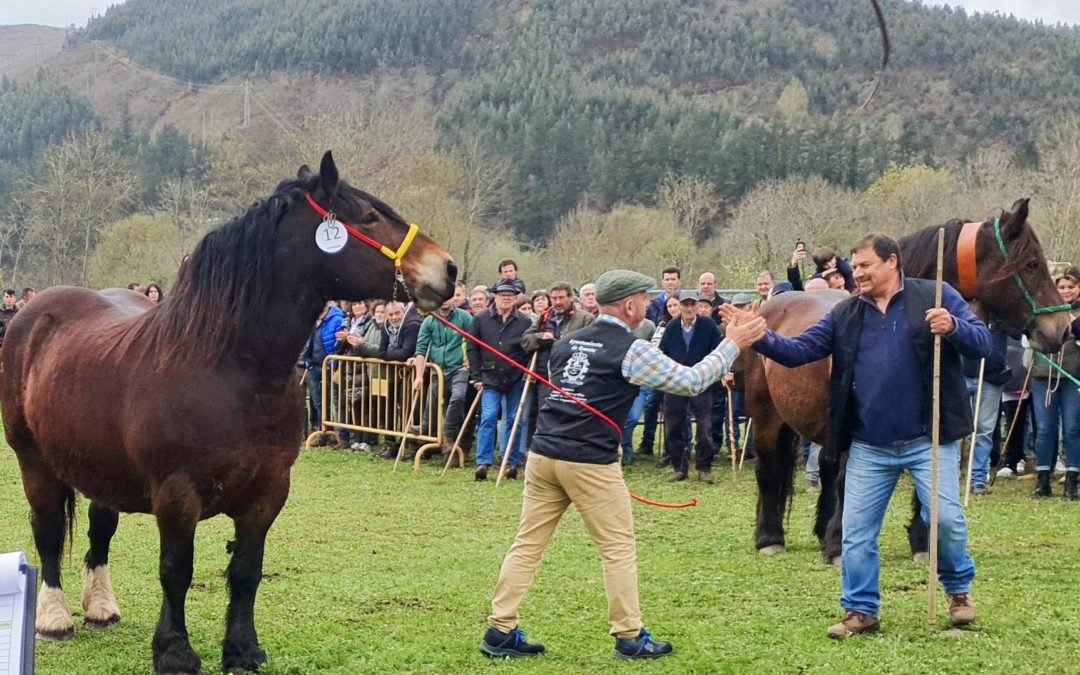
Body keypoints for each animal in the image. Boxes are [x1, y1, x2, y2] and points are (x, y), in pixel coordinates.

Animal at [0, 152, 455, 673]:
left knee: (100, 529)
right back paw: (54, 616)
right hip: (34, 461)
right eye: (369, 216)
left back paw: (100, 607)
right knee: (48, 529)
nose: (447, 269)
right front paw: (174, 651)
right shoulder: (177, 494)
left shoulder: (269, 492)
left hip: (100, 466)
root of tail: (37, 312)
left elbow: (246, 571)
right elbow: (176, 570)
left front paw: (242, 648)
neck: (229, 369)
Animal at [751, 197, 1071, 561]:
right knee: (768, 468)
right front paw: (838, 545)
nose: (1063, 329)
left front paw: (923, 543)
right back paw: (769, 537)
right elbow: (850, 481)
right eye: (1031, 264)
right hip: (767, 417)